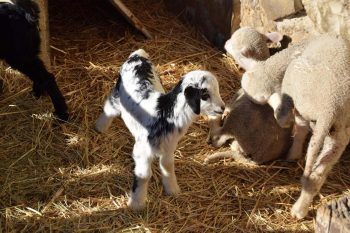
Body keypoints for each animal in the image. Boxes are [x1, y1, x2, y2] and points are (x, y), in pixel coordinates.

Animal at [274, 34, 350, 218]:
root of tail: (329, 106)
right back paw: (300, 210)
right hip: (339, 130)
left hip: (300, 99)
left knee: (292, 122)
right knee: (316, 175)